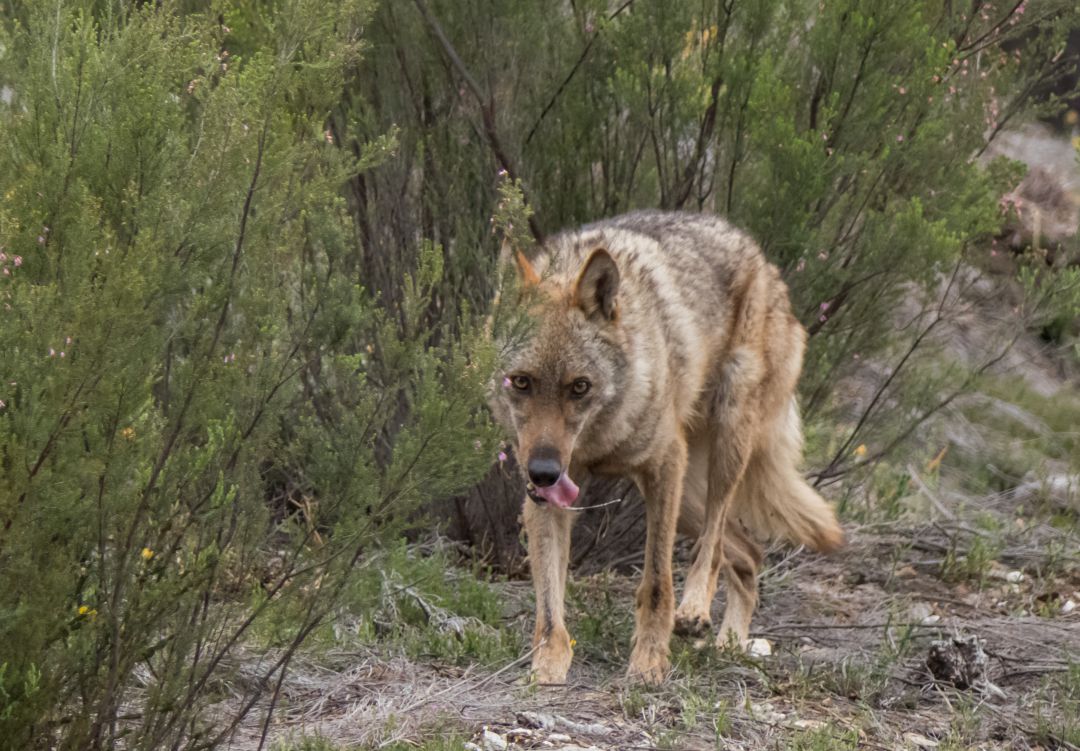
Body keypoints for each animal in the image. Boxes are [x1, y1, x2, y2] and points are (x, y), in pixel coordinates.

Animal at [490, 211, 842, 687]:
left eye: (579, 387)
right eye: (521, 382)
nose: (543, 471)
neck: (600, 439)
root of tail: (763, 261)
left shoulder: (662, 467)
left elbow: (657, 582)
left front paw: (649, 662)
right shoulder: (547, 498)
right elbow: (548, 600)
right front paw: (547, 665)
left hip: (723, 449)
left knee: (713, 545)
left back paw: (695, 611)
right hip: (689, 499)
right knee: (749, 553)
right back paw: (731, 643)